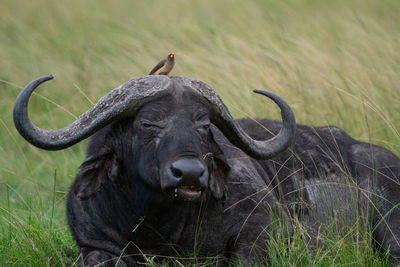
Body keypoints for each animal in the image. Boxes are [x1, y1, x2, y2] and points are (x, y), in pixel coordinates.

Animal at [13, 75, 400, 266]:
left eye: (202, 125)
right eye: (148, 123)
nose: (188, 174)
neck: (160, 225)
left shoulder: (265, 229)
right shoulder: (92, 242)